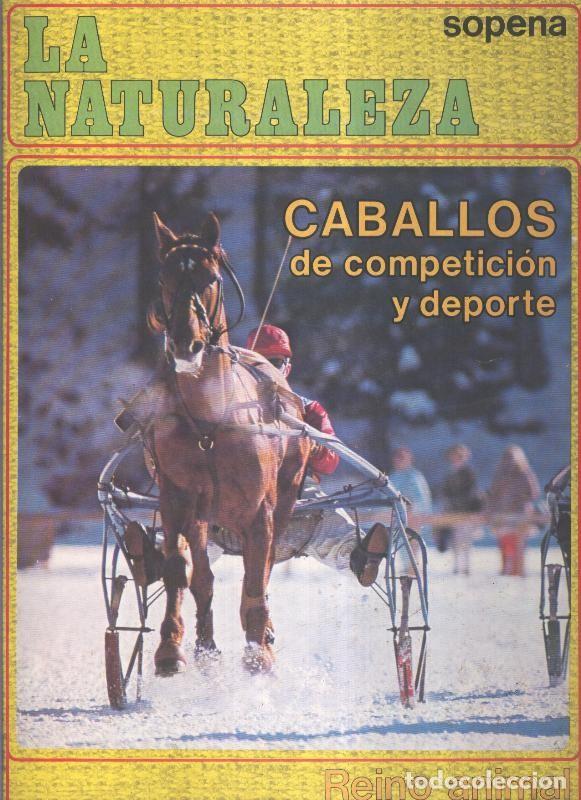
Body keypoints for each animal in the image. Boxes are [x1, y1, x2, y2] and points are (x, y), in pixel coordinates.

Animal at [145, 212, 310, 675]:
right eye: (163, 276)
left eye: (212, 278)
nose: (186, 343)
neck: (209, 425)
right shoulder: (177, 497)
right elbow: (179, 568)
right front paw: (173, 648)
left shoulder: (262, 510)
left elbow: (256, 579)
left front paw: (260, 651)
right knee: (199, 575)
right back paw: (204, 644)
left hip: (286, 498)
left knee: (264, 569)